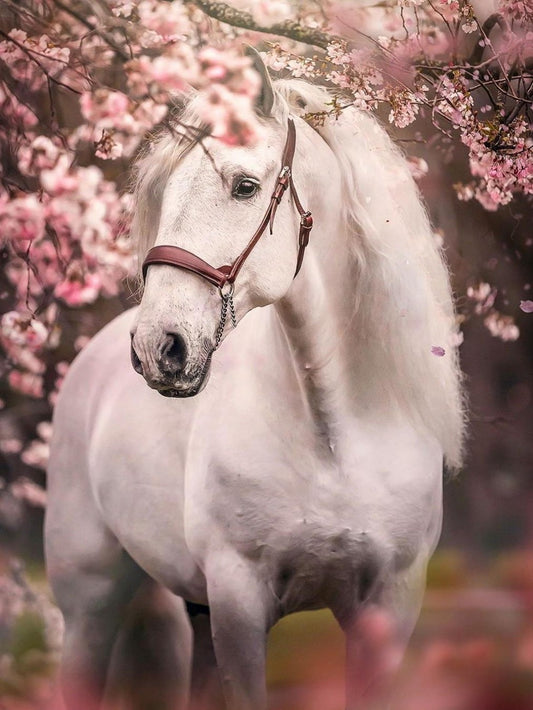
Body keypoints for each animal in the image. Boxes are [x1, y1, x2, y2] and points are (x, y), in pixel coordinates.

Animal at [45, 54, 465, 710]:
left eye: (244, 186)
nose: (158, 347)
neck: (335, 436)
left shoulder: (389, 611)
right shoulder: (239, 601)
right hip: (90, 603)